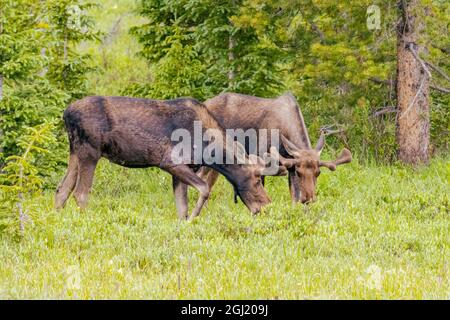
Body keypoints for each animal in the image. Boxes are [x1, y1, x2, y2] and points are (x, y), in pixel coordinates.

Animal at [54, 96, 282, 219]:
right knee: (80, 193)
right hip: (90, 152)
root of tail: (66, 113)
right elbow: (204, 189)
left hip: (75, 151)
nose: (266, 205)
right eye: (256, 180)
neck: (209, 150)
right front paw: (193, 219)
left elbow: (181, 207)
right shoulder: (170, 161)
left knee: (62, 189)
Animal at [199, 91, 354, 204]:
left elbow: (294, 196)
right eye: (299, 173)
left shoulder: (290, 164)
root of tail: (205, 102)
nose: (309, 199)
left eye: (318, 173)